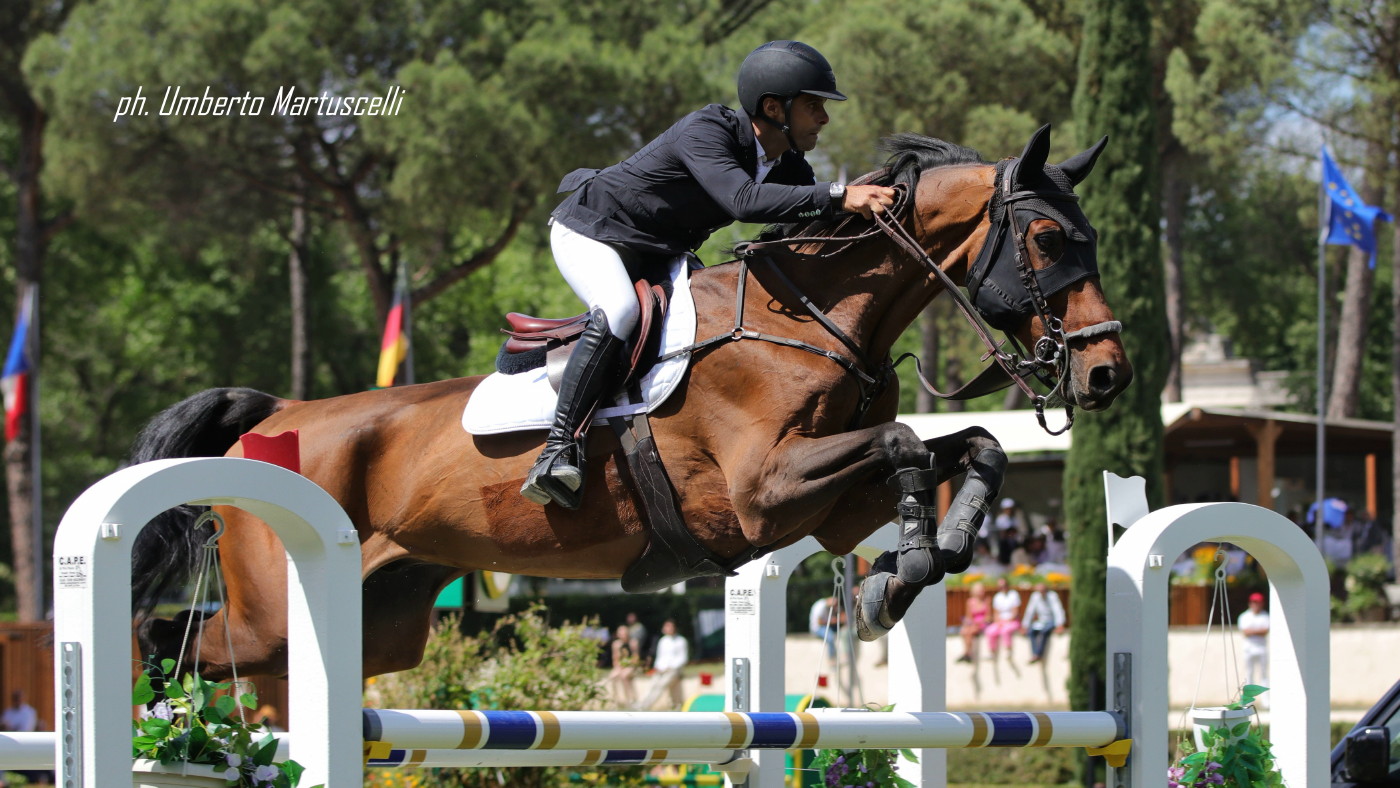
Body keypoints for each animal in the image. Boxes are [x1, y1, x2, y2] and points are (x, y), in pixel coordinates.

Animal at [129, 124, 1132, 680]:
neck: (812, 317)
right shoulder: (766, 492)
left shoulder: (826, 506)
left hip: (381, 622)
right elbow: (908, 446)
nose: (1108, 373)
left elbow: (970, 446)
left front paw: (914, 566)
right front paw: (908, 568)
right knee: (163, 640)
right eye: (1049, 238)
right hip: (269, 617)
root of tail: (272, 416)